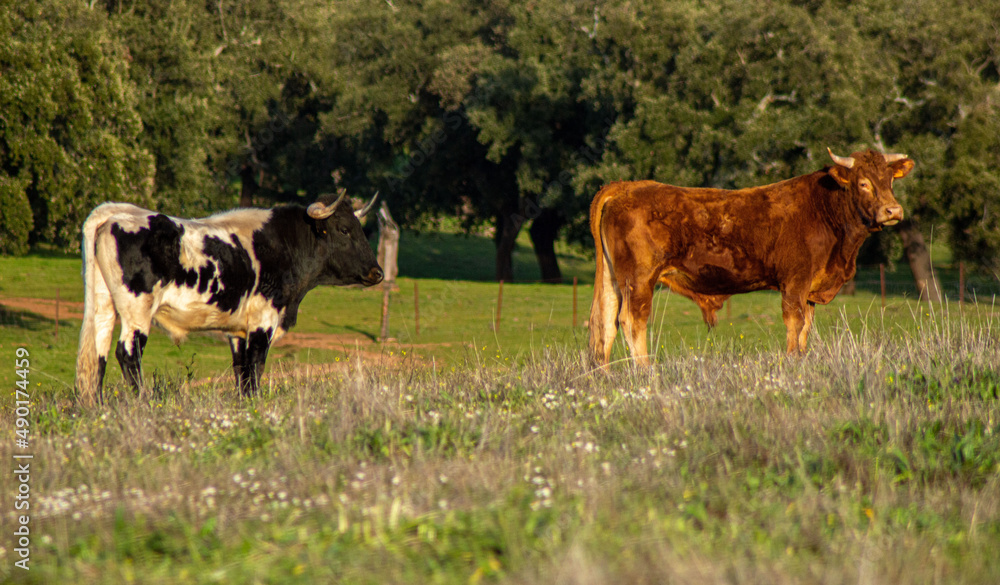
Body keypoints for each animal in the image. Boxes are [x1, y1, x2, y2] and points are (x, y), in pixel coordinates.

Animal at [74, 189, 384, 404]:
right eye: (344, 229)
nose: (378, 272)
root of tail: (117, 213)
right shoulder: (263, 320)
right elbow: (256, 365)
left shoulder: (238, 330)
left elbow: (241, 370)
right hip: (137, 310)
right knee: (127, 352)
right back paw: (142, 403)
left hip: (104, 305)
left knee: (99, 353)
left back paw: (99, 406)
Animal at [592, 147, 916, 364]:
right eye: (863, 183)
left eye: (890, 180)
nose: (893, 210)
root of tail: (628, 186)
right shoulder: (794, 282)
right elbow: (794, 323)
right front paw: (792, 362)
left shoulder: (810, 289)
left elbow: (805, 329)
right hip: (639, 280)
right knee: (631, 320)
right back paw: (645, 372)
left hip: (612, 279)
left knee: (604, 321)